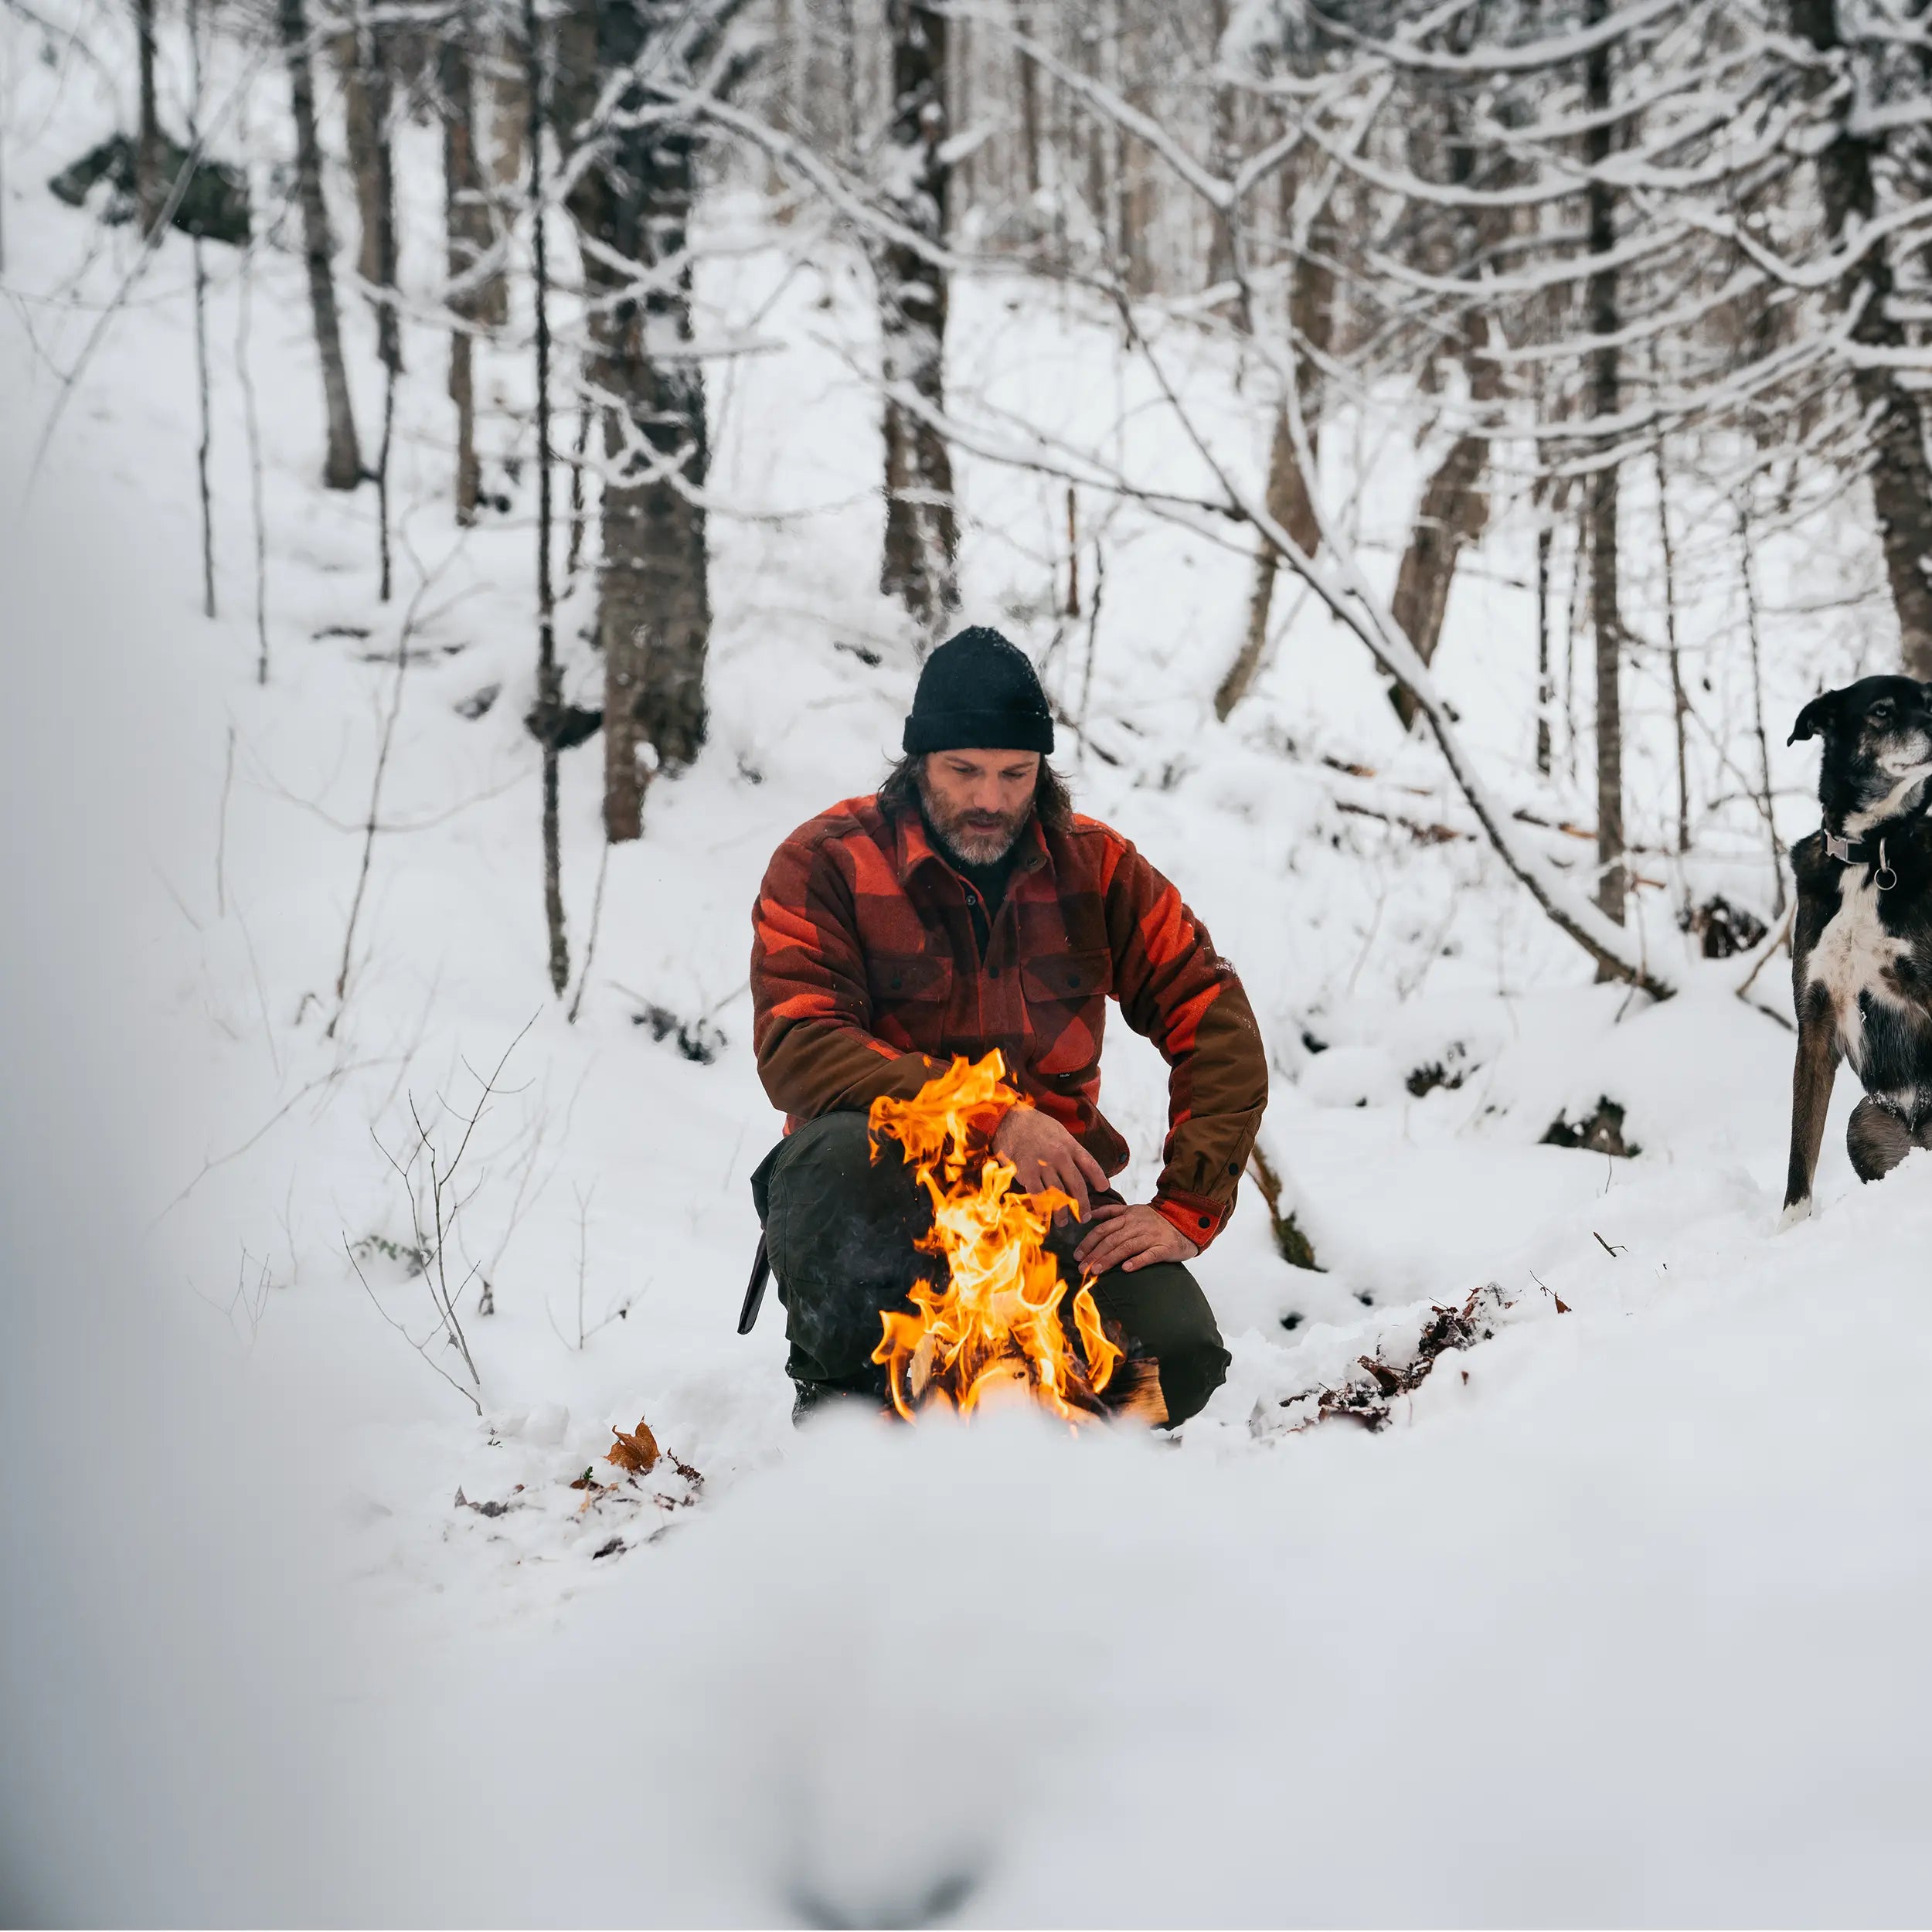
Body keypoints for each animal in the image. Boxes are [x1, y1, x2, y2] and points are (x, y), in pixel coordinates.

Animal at [1777, 676, 1932, 1221]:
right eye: (1881, 711)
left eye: (1929, 702)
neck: (1871, 856)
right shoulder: (1815, 1022)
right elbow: (1801, 1153)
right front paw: (1790, 1230)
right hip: (1864, 1122)